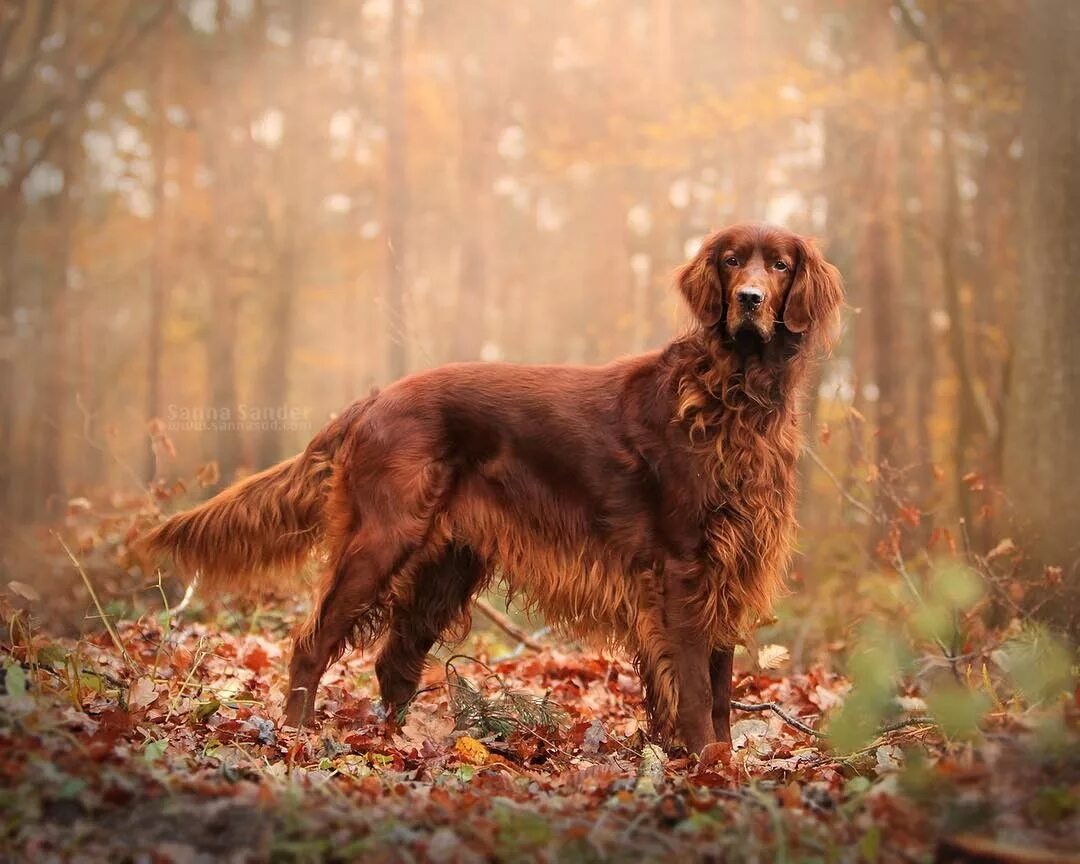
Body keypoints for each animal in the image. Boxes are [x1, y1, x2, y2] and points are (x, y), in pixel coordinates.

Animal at [137, 224, 842, 756]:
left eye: (780, 264)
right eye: (731, 261)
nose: (749, 298)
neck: (731, 394)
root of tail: (373, 400)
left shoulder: (729, 564)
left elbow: (720, 686)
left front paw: (719, 760)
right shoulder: (680, 568)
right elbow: (696, 687)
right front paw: (704, 763)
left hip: (446, 561)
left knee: (395, 661)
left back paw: (399, 747)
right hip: (383, 539)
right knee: (313, 642)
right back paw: (296, 737)